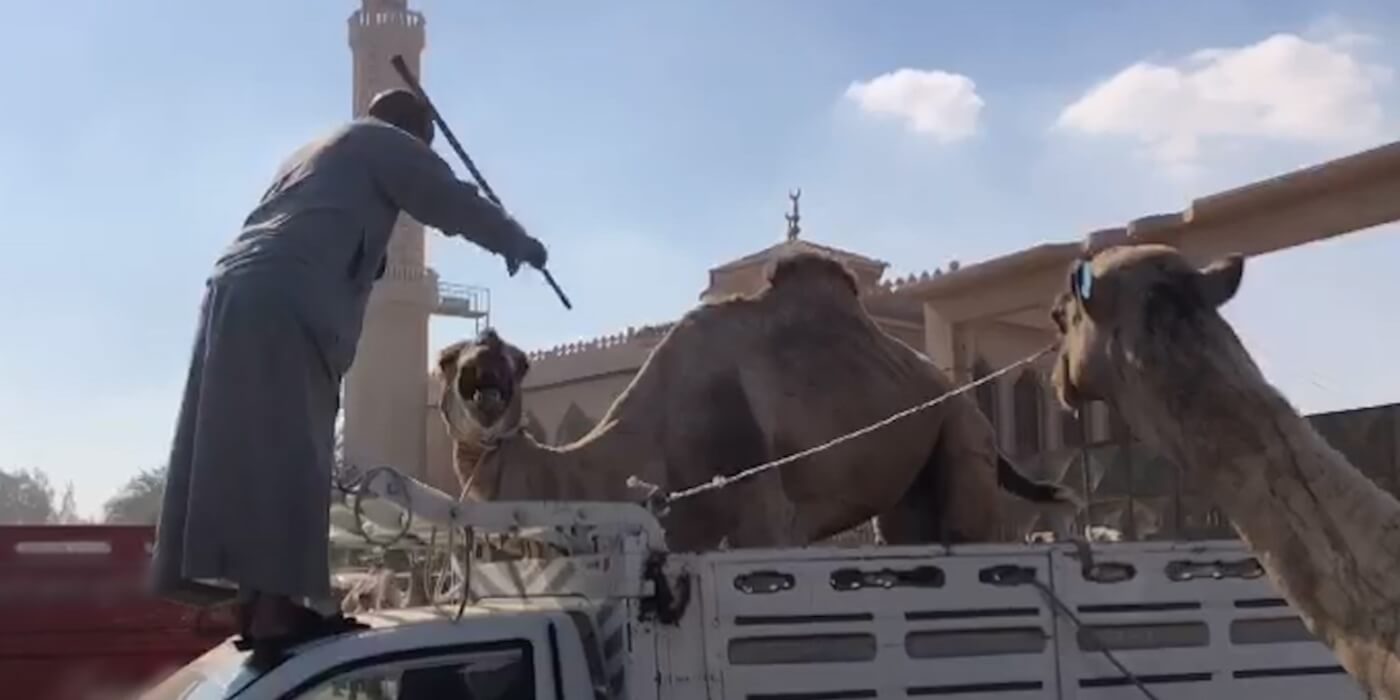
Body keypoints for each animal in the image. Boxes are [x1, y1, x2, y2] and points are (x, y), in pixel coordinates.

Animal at [431, 252, 1075, 551]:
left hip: (963, 423)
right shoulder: (682, 526)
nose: (485, 351)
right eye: (448, 359)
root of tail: (943, 383)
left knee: (969, 528)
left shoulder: (762, 505)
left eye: (519, 360)